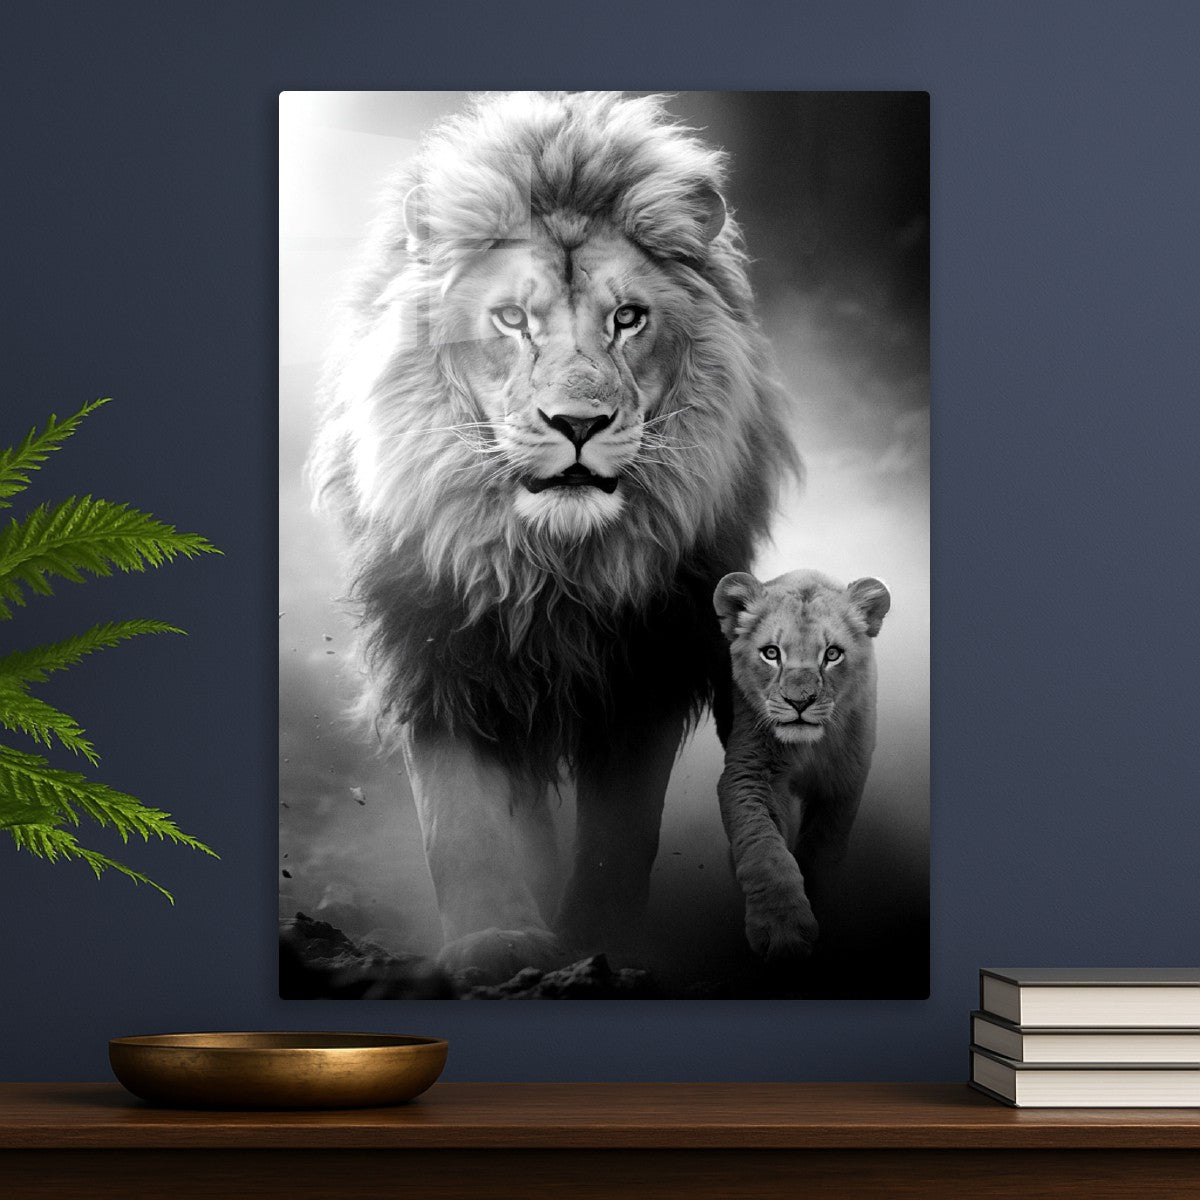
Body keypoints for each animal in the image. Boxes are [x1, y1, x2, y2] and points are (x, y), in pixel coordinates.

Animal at [308, 92, 798, 983]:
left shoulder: (648, 663)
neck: (553, 565)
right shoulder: (435, 645)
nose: (577, 424)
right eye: (511, 319)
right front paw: (496, 942)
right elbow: (460, 817)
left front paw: (601, 942)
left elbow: (621, 832)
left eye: (628, 318)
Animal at [713, 569, 890, 961]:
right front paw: (782, 929)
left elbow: (822, 847)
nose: (799, 702)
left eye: (832, 654)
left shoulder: (843, 783)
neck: (806, 748)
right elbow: (763, 848)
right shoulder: (749, 773)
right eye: (771, 653)